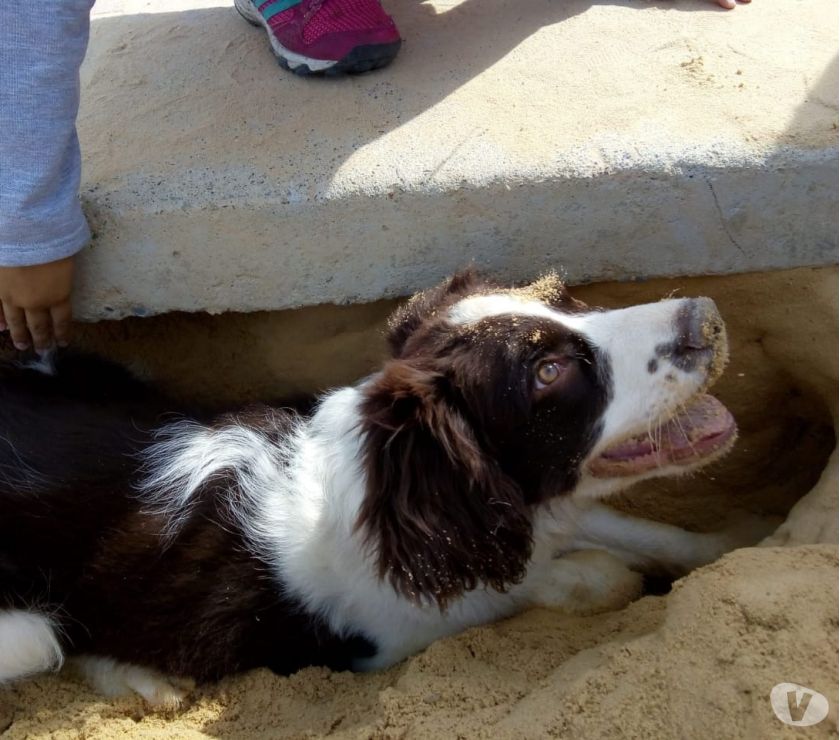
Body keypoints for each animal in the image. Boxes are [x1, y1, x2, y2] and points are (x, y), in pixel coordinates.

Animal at [0, 270, 768, 704]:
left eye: (564, 297)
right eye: (546, 372)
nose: (706, 317)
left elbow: (641, 531)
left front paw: (753, 537)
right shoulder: (388, 639)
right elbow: (555, 581)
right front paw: (606, 578)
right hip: (31, 629)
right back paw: (143, 679)